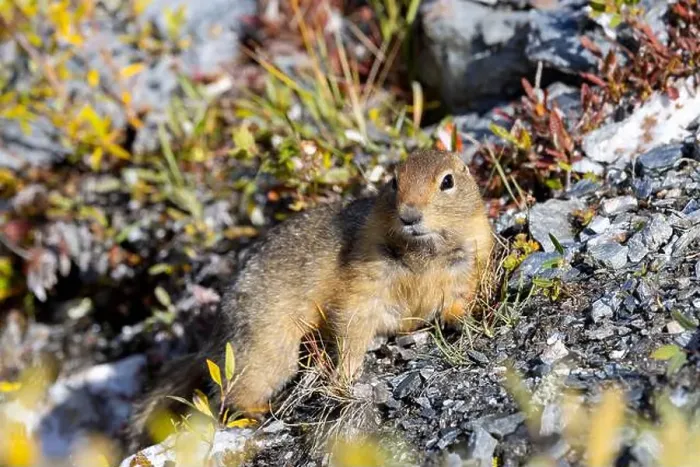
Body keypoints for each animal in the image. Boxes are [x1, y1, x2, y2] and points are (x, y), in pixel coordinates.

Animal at [126, 149, 495, 450]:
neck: (423, 251)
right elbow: (352, 322)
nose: (409, 215)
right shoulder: (363, 280)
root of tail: (215, 337)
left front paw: (465, 320)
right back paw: (265, 409)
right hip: (269, 349)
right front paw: (345, 376)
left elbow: (457, 299)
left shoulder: (471, 260)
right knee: (230, 392)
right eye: (393, 181)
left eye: (447, 181)